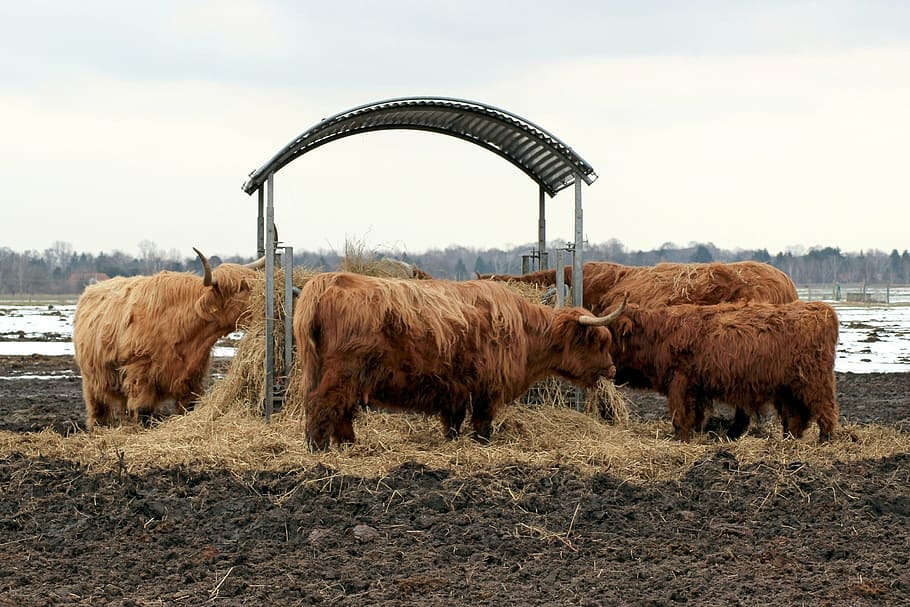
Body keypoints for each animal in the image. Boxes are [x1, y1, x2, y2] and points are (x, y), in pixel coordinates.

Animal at [73, 248, 265, 429]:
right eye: (240, 288)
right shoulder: (140, 374)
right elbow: (143, 412)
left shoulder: (192, 377)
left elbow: (188, 408)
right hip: (91, 378)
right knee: (97, 408)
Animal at [292, 272, 627, 449]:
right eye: (598, 342)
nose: (612, 370)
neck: (525, 333)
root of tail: (327, 281)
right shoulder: (487, 389)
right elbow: (482, 425)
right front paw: (481, 445)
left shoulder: (454, 389)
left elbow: (452, 423)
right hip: (342, 372)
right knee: (323, 406)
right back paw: (319, 449)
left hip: (337, 374)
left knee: (339, 411)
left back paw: (348, 445)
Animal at [607, 300, 840, 442]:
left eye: (608, 335)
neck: (658, 336)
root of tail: (822, 309)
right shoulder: (696, 388)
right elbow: (695, 417)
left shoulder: (680, 382)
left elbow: (680, 417)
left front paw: (681, 440)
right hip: (789, 388)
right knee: (796, 417)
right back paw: (790, 440)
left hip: (815, 381)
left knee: (826, 410)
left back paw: (824, 441)